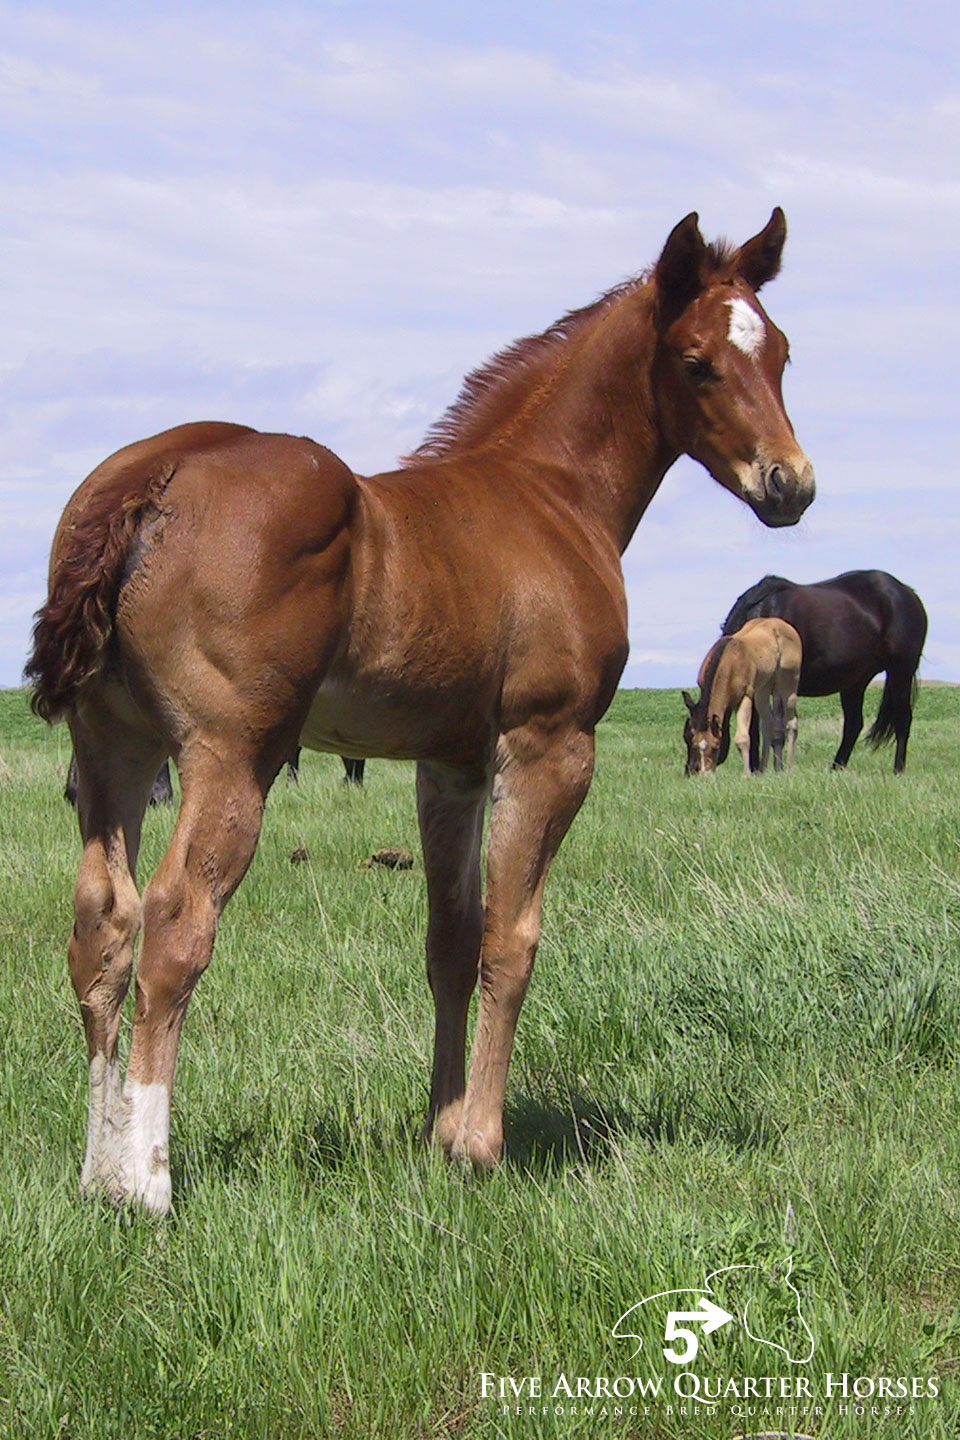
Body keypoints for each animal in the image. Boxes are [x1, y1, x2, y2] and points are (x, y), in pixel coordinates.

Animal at [682, 618, 801, 775]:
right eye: (690, 740)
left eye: (715, 746)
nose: (703, 774)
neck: (727, 661)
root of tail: (784, 625)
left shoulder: (745, 697)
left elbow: (743, 738)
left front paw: (746, 775)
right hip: (763, 688)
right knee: (768, 724)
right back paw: (764, 769)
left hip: (789, 681)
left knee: (791, 722)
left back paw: (789, 767)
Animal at [720, 571, 927, 772]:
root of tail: (908, 593)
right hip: (855, 681)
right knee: (854, 724)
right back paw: (836, 768)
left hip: (901, 671)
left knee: (903, 719)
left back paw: (898, 769)